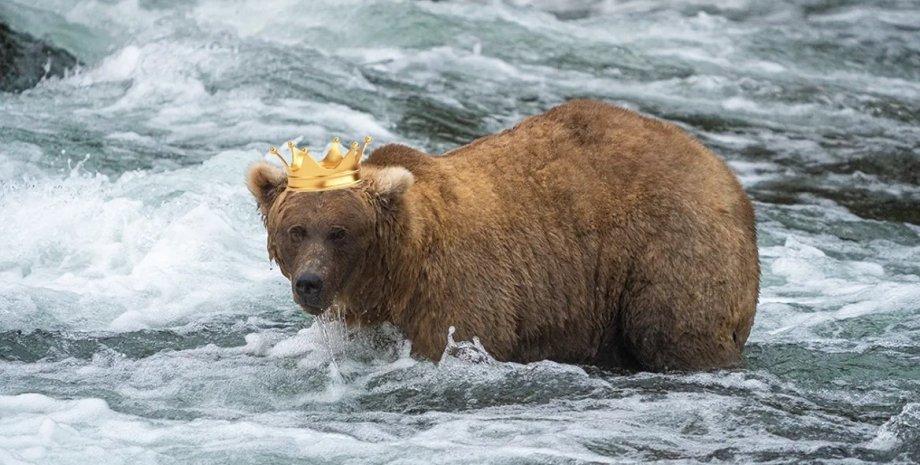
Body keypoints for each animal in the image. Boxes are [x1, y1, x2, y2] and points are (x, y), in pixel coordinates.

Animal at [248, 99, 760, 372]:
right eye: (296, 231)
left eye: (340, 232)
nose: (310, 282)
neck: (396, 272)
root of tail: (724, 172)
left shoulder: (458, 293)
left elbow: (458, 339)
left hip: (671, 247)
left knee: (672, 329)